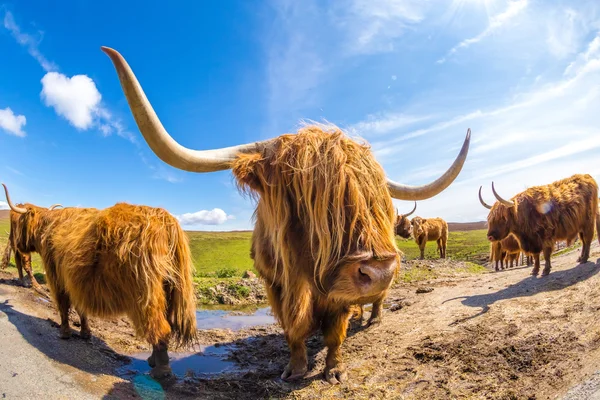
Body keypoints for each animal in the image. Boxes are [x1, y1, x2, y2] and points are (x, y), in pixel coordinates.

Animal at [1, 184, 195, 378]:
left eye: (16, 222)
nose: (16, 244)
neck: (48, 227)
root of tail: (163, 217)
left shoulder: (57, 276)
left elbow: (63, 305)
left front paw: (64, 332)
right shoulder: (76, 283)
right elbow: (80, 308)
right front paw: (85, 333)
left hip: (146, 293)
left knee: (159, 326)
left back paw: (161, 370)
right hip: (169, 290)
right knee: (165, 322)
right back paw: (152, 360)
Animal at [101, 47, 472, 384]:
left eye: (375, 198)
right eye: (308, 195)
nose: (378, 272)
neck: (301, 270)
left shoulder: (337, 288)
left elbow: (335, 331)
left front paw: (334, 370)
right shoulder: (276, 284)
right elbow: (294, 327)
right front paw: (295, 369)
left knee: (374, 303)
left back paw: (373, 318)